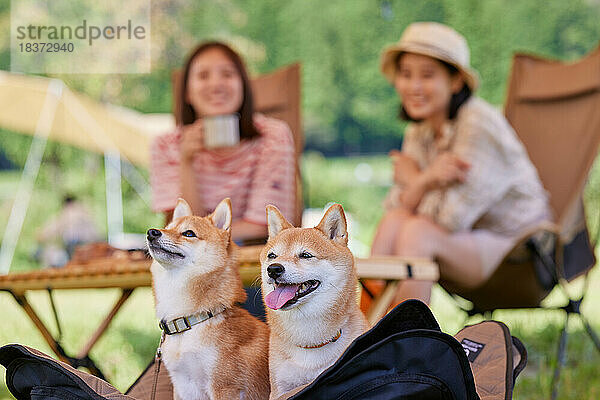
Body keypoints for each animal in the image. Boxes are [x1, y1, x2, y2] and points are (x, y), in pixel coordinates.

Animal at [148, 198, 270, 398]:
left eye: (189, 233)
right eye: (167, 228)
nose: (152, 232)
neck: (194, 320)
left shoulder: (224, 386)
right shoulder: (182, 387)